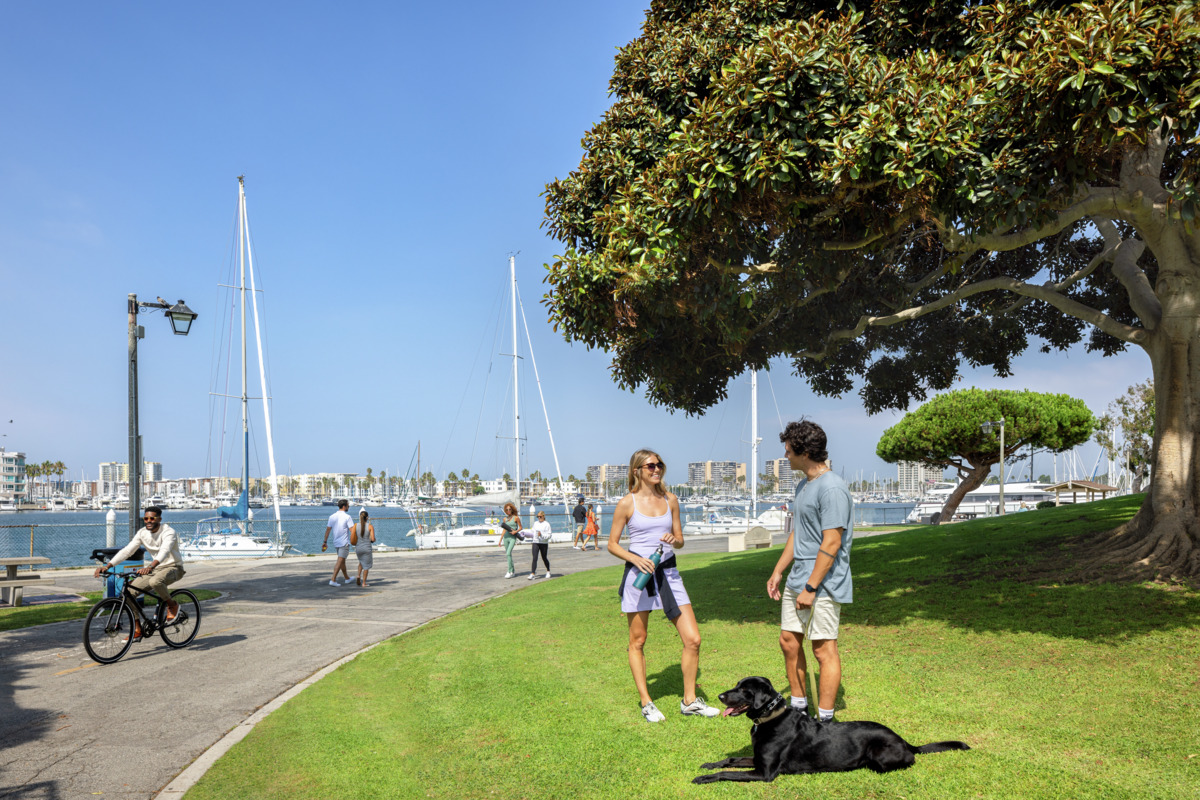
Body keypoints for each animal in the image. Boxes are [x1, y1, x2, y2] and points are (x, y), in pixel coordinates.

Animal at [696, 676, 964, 782]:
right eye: (736, 685)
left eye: (744, 690)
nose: (720, 696)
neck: (771, 718)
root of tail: (903, 740)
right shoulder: (757, 760)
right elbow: (730, 760)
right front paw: (709, 764)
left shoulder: (765, 773)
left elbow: (726, 773)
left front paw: (705, 778)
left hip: (880, 755)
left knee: (907, 761)